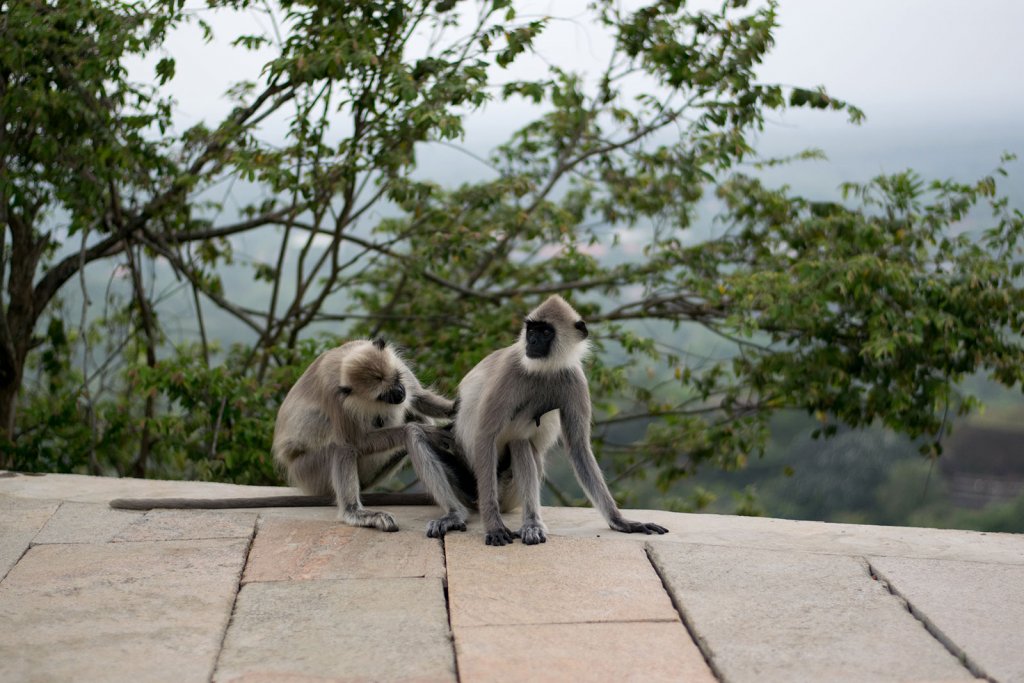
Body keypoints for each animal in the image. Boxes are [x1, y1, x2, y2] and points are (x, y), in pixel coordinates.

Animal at [111, 337, 471, 540]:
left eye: (395, 381)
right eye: (383, 393)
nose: (397, 395)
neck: (344, 360)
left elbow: (419, 398)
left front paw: (454, 411)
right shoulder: (335, 396)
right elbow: (357, 441)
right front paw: (433, 431)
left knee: (408, 418)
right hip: (310, 472)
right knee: (345, 446)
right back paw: (358, 512)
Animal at [452, 296, 667, 548]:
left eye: (545, 332)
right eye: (532, 330)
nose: (532, 341)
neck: (544, 370)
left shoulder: (575, 379)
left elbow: (578, 448)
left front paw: (620, 521)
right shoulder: (510, 370)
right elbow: (485, 436)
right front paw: (493, 526)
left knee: (521, 442)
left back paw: (532, 524)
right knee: (517, 439)